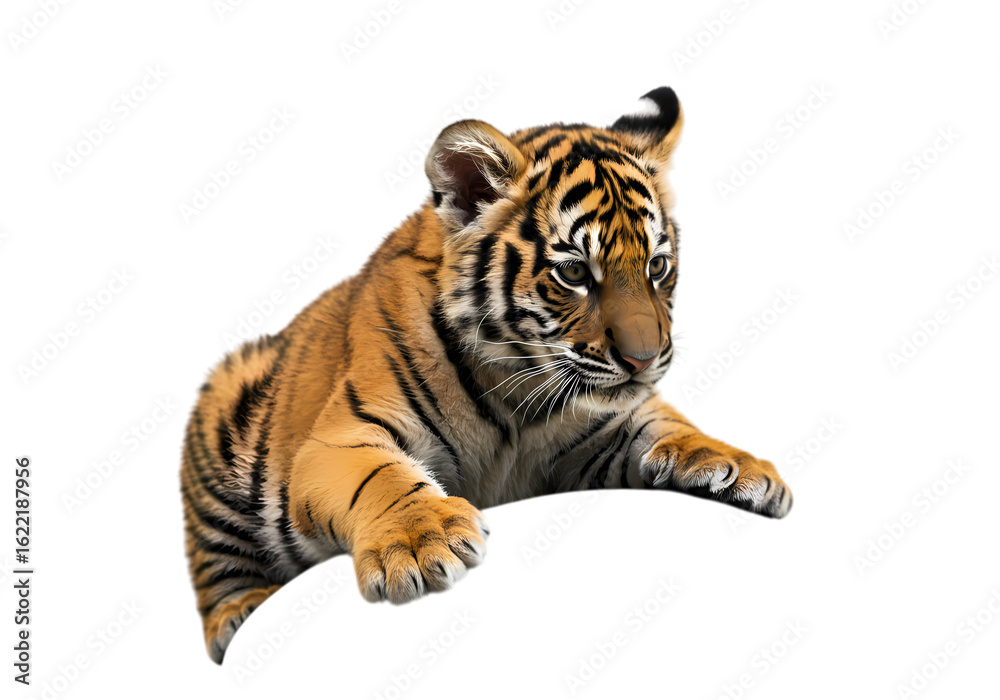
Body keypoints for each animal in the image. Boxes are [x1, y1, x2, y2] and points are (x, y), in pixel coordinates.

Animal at [180, 86, 793, 664]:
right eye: (575, 273)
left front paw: (743, 468)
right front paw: (421, 542)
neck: (520, 391)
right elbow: (380, 477)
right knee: (219, 576)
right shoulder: (340, 438)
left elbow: (665, 424)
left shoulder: (597, 435)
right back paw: (242, 614)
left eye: (657, 266)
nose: (644, 360)